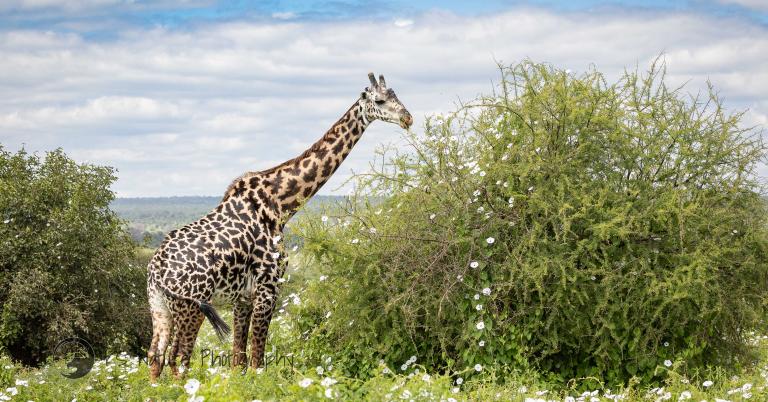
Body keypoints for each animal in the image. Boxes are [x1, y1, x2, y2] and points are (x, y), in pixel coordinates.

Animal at [146, 73, 412, 381]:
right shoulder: (269, 286)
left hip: (160, 307)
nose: (407, 118)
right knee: (178, 358)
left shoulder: (243, 296)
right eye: (379, 100)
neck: (280, 204)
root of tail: (157, 270)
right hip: (192, 306)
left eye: (396, 95)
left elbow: (239, 359)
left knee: (155, 356)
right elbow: (257, 359)